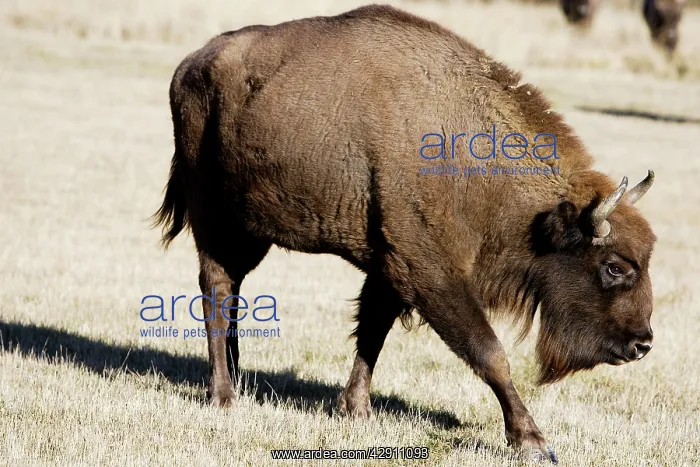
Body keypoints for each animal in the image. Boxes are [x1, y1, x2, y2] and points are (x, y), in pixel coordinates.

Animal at [153, 5, 657, 463]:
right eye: (614, 267)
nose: (643, 344)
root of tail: (189, 65)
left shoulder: (389, 268)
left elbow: (372, 333)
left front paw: (355, 410)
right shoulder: (428, 272)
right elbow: (489, 352)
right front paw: (532, 441)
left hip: (249, 231)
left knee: (234, 293)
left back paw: (239, 380)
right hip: (216, 220)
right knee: (217, 291)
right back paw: (223, 395)